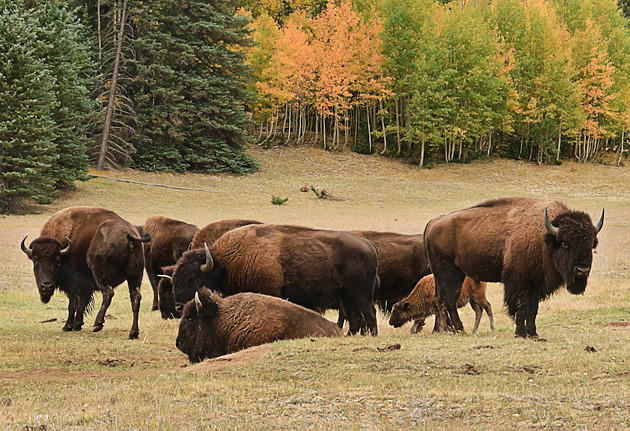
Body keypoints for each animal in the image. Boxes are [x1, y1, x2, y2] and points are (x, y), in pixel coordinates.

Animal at [20, 208, 151, 340]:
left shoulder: (74, 284)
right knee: (135, 298)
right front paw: (78, 324)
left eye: (57, 260)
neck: (64, 251)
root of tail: (128, 235)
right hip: (135, 276)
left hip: (99, 272)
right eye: (35, 260)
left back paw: (98, 324)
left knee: (108, 292)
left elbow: (73, 303)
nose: (46, 286)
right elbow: (82, 303)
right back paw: (133, 333)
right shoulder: (85, 286)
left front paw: (68, 326)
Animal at [170, 224, 382, 336]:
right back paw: (350, 336)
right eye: (176, 278)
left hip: (360, 294)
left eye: (195, 280)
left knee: (369, 312)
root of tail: (369, 246)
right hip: (347, 295)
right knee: (355, 316)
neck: (225, 264)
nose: (179, 306)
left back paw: (372, 335)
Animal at [428, 197, 604, 340]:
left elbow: (533, 309)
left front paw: (534, 334)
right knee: (448, 299)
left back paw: (450, 330)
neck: (544, 238)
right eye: (565, 243)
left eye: (591, 244)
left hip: (449, 275)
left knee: (443, 299)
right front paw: (521, 333)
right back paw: (458, 329)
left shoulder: (536, 285)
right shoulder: (519, 283)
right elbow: (522, 307)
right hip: (448, 273)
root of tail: (432, 224)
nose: (582, 270)